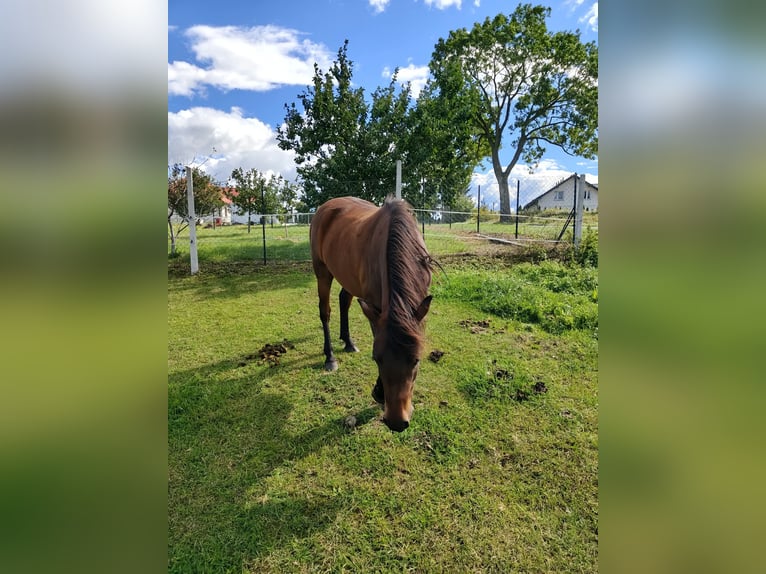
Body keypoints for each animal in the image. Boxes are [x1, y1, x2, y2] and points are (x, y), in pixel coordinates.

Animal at [310, 196, 433, 432]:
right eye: (376, 359)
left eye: (416, 360)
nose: (396, 422)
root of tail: (325, 207)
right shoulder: (376, 310)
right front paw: (379, 393)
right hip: (322, 271)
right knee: (324, 312)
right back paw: (330, 357)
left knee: (344, 300)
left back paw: (348, 342)